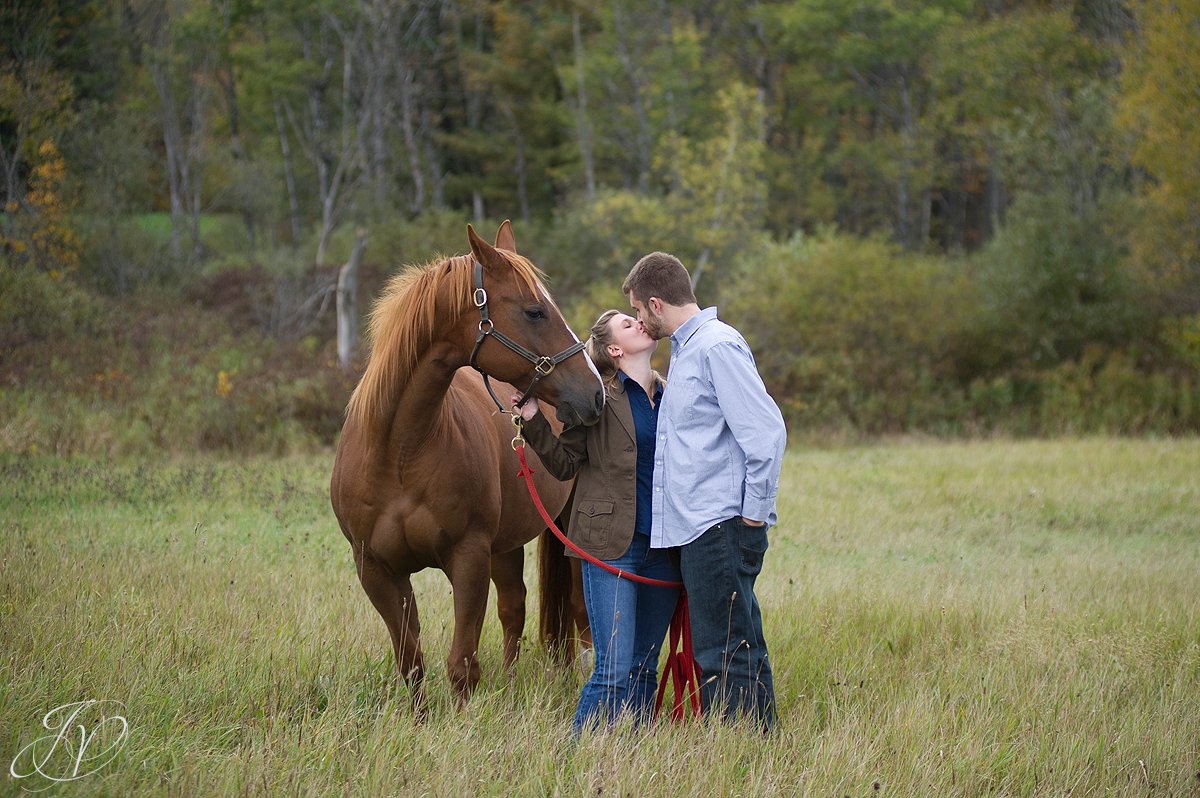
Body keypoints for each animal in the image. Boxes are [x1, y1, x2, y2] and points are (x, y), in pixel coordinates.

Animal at [328, 219, 604, 710]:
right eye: (535, 311)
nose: (594, 393)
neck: (400, 451)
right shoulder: (376, 570)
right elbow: (411, 661)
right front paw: (420, 719)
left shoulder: (468, 557)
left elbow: (462, 665)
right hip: (506, 543)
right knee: (514, 606)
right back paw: (511, 681)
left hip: (566, 534)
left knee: (575, 608)